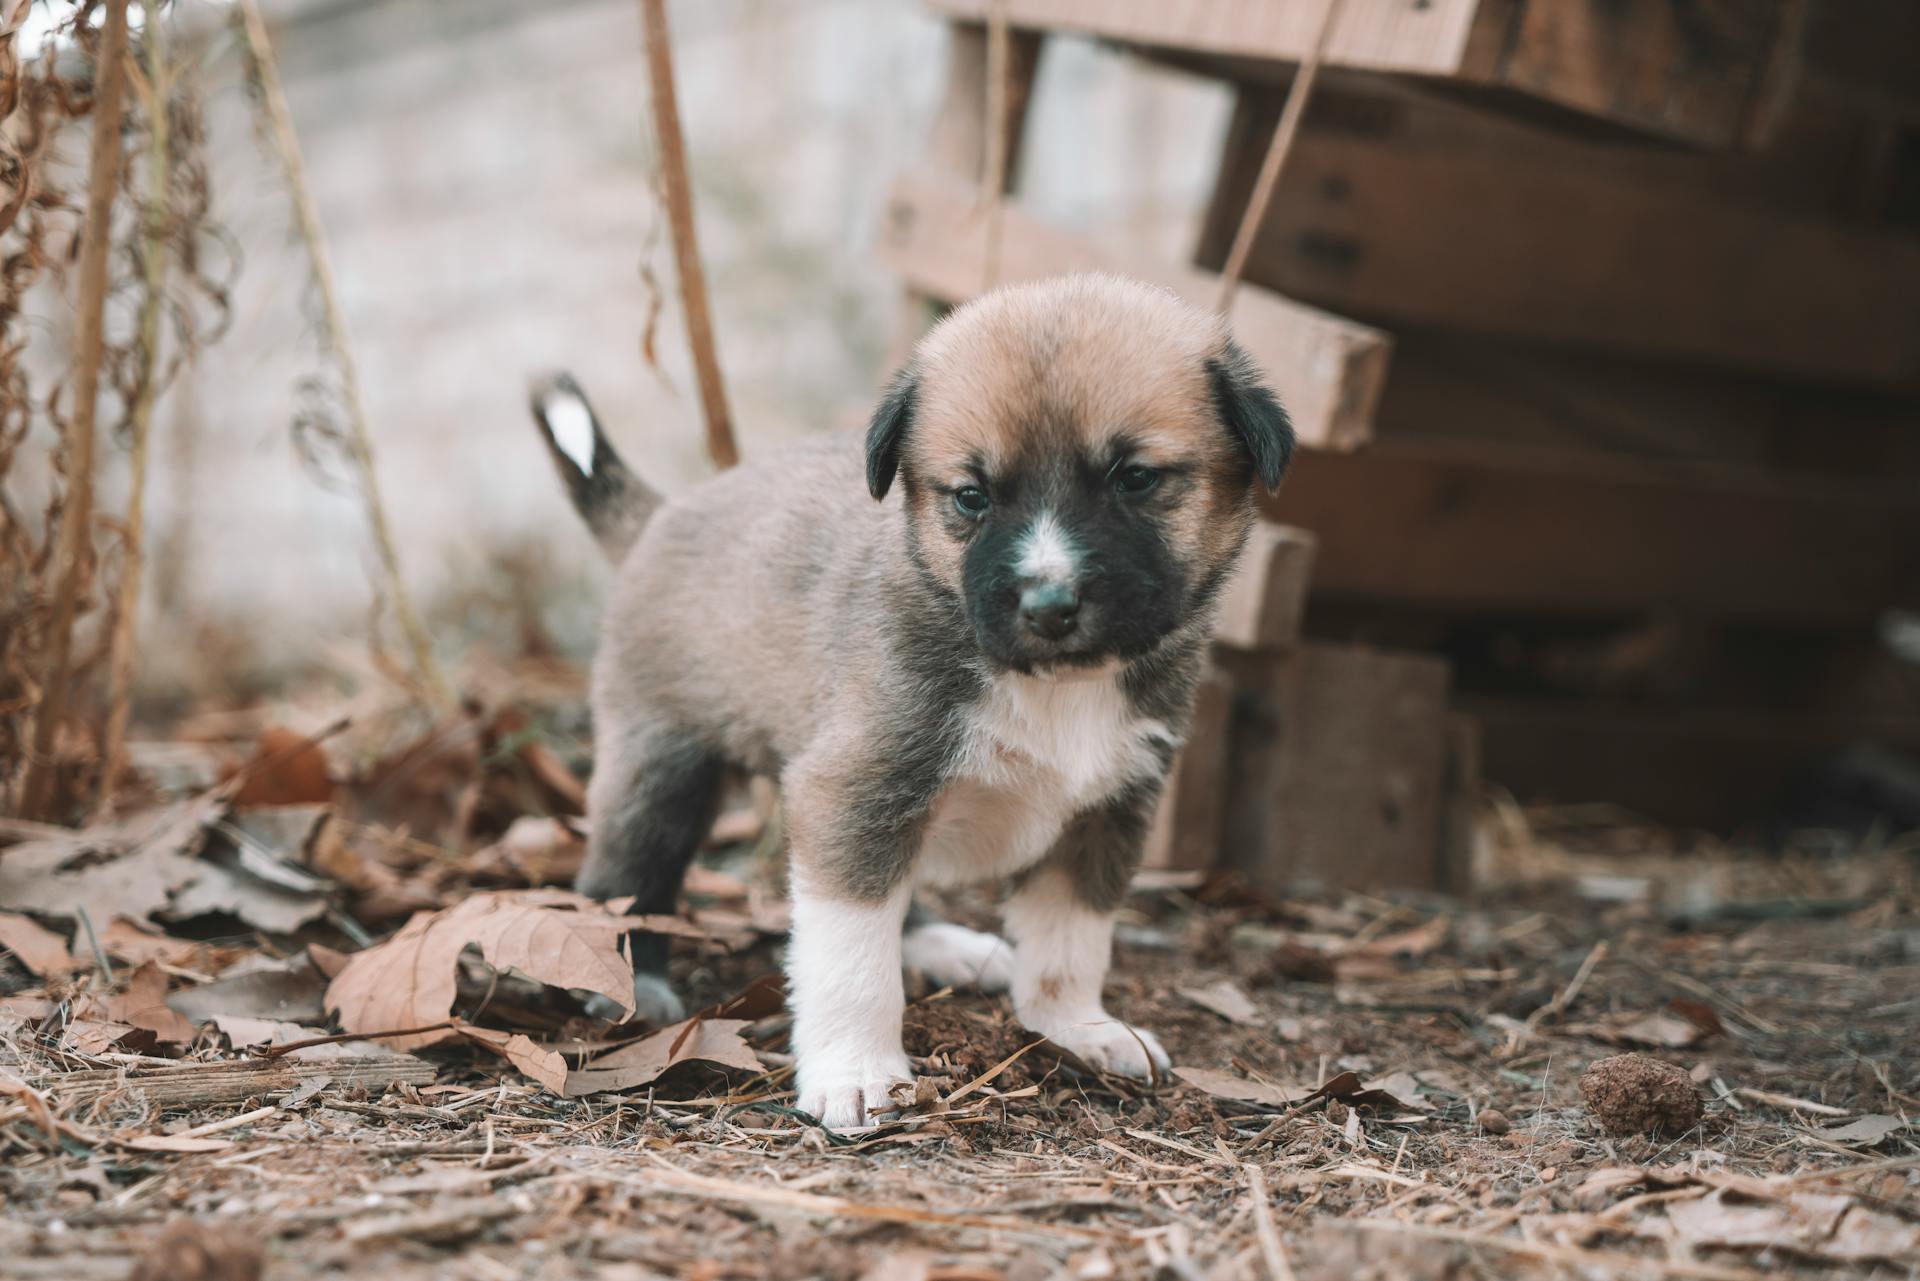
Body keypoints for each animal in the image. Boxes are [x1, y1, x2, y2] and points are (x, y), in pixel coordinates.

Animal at [529, 276, 1290, 1129]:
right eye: (972, 496)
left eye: (1135, 479)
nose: (1049, 604)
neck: (1052, 683)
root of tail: (661, 512)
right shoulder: (855, 784)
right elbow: (850, 957)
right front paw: (855, 1070)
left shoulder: (1105, 809)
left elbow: (1069, 942)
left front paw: (1078, 1029)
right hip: (661, 767)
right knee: (627, 871)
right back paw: (625, 981)